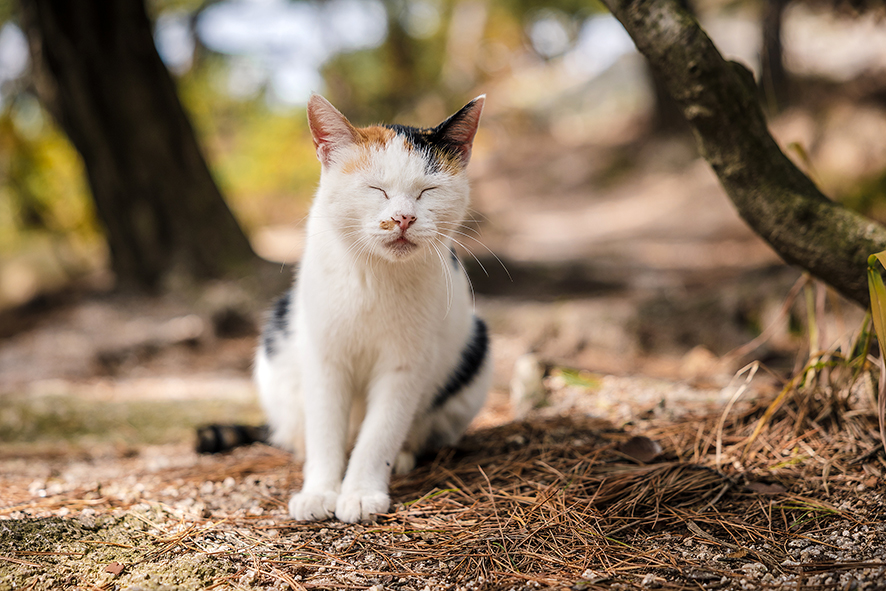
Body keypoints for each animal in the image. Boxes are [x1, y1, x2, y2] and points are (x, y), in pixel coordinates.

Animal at [255, 93, 492, 524]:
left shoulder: (405, 366)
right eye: (376, 189)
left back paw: (402, 457)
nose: (403, 217)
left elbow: (380, 433)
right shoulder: (324, 358)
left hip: (475, 353)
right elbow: (324, 429)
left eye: (427, 191)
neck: (374, 277)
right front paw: (319, 491)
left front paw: (362, 491)